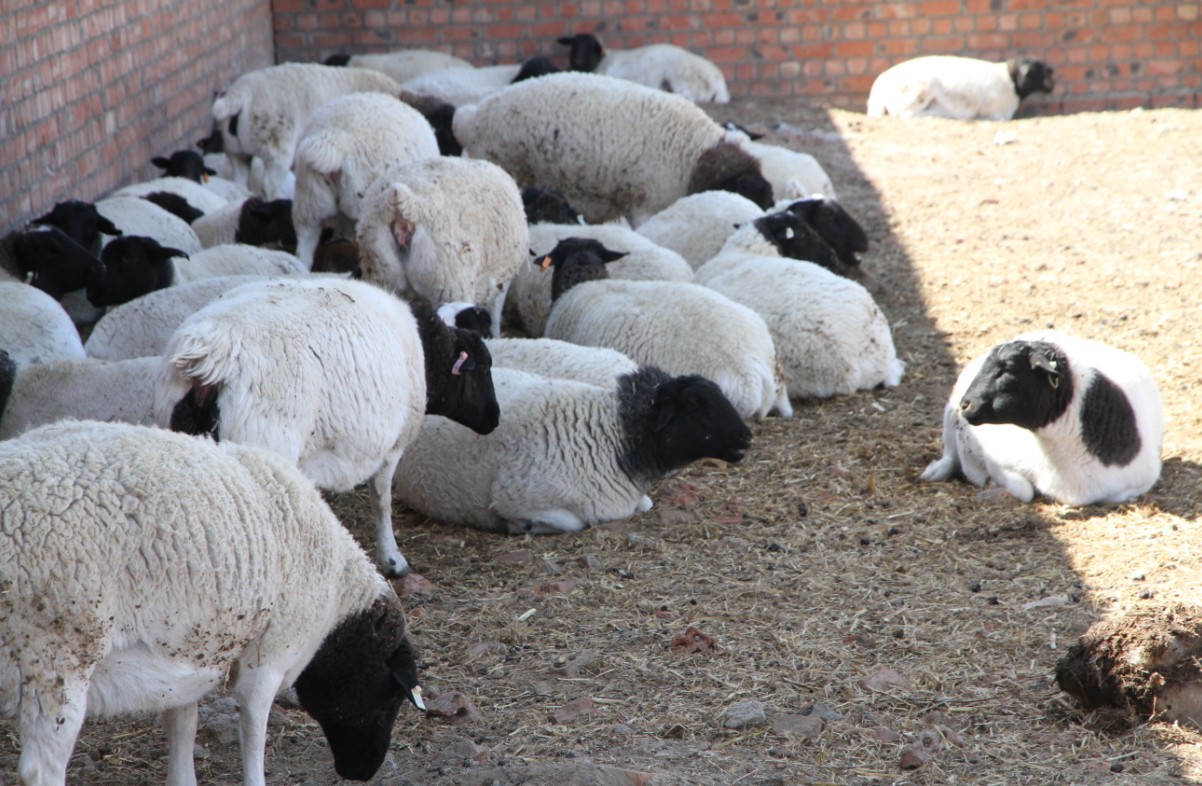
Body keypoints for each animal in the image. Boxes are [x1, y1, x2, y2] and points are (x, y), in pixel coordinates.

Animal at [0, 420, 424, 786]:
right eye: (391, 699)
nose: (363, 772)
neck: (337, 599)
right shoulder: (269, 655)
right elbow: (253, 728)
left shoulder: (186, 650)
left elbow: (182, 723)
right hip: (54, 660)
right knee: (41, 769)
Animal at [153, 276, 501, 576]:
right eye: (483, 367)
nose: (495, 419)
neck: (429, 352)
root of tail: (210, 358)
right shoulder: (392, 447)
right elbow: (382, 502)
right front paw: (393, 560)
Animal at [393, 365, 750, 534]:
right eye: (694, 404)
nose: (746, 439)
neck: (609, 437)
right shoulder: (519, 499)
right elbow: (573, 523)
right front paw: (524, 527)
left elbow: (645, 504)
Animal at [557, 32, 730, 104]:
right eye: (574, 45)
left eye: (591, 47)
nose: (577, 60)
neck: (601, 62)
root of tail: (717, 80)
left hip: (681, 78)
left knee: (687, 96)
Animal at [918, 330, 1163, 505]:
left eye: (1006, 370)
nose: (965, 405)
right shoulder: (995, 458)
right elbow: (1024, 490)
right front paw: (991, 485)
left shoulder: (1135, 486)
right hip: (950, 413)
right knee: (950, 452)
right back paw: (933, 473)